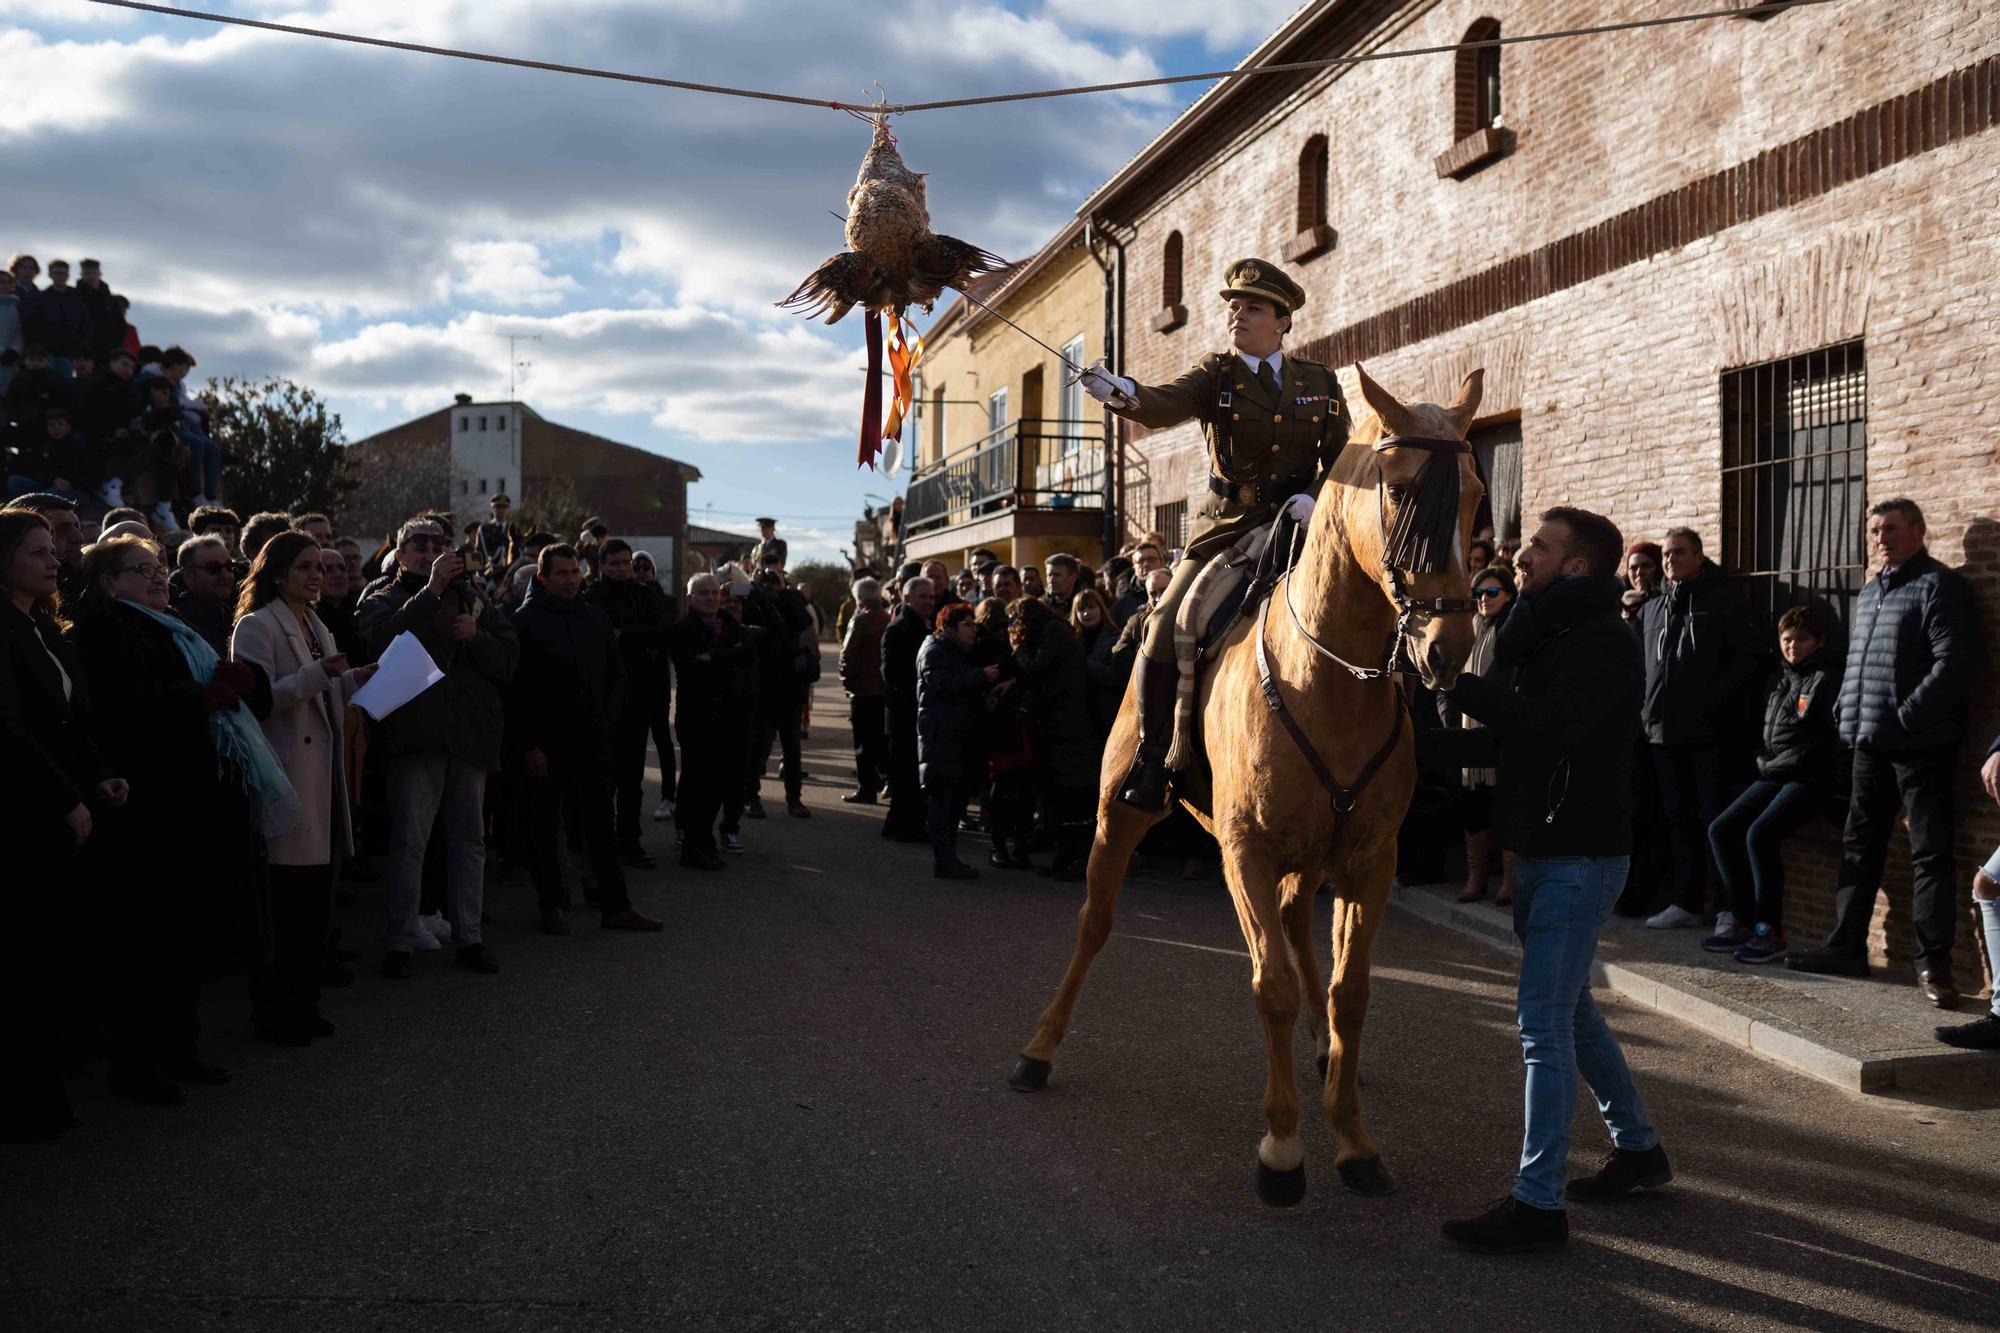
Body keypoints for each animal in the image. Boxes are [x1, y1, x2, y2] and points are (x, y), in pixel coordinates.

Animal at [1008, 364, 1480, 1200]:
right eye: (1399, 490)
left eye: (1479, 491)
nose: (1449, 645)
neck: (1330, 677)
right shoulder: (1246, 851)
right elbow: (1273, 986)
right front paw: (1283, 1147)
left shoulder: (1370, 860)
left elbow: (1350, 992)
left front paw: (1351, 1137)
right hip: (1116, 814)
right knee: (1096, 922)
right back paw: (1039, 1047)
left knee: (1297, 929)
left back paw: (1323, 1053)